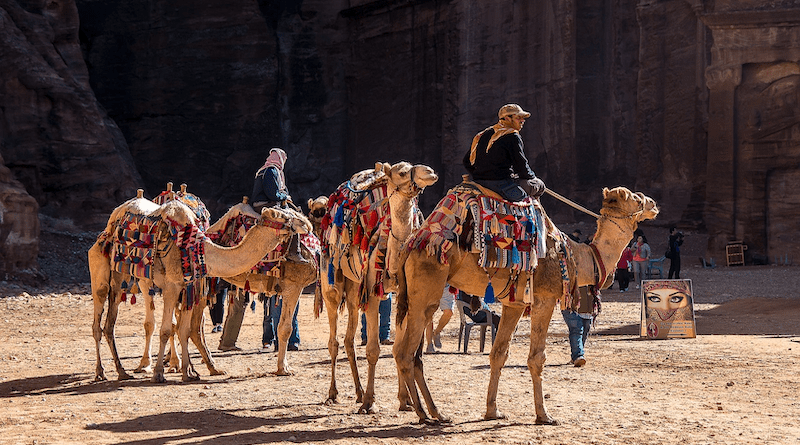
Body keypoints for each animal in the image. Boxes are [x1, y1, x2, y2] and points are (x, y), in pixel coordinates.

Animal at [90, 194, 310, 382]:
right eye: (286, 216)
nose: (306, 224)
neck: (200, 249)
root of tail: (113, 219)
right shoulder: (172, 286)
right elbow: (166, 329)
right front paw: (159, 373)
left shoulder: (188, 287)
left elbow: (184, 329)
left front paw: (189, 373)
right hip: (101, 269)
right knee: (98, 322)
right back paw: (102, 372)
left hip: (122, 279)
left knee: (110, 324)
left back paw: (122, 371)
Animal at [318, 160, 438, 412]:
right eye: (402, 172)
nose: (430, 172)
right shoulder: (372, 296)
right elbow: (373, 350)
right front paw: (369, 402)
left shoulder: (402, 296)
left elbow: (397, 349)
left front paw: (405, 400)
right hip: (332, 284)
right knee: (334, 341)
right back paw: (335, 393)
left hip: (354, 289)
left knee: (348, 340)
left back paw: (357, 392)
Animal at [392, 185, 656, 424]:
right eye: (635, 198)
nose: (652, 204)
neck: (577, 256)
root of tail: (411, 244)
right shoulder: (544, 299)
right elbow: (537, 358)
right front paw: (544, 415)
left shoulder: (514, 304)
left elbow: (498, 354)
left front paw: (493, 411)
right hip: (426, 290)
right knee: (406, 354)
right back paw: (424, 414)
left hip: (413, 299)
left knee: (407, 353)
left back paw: (434, 412)